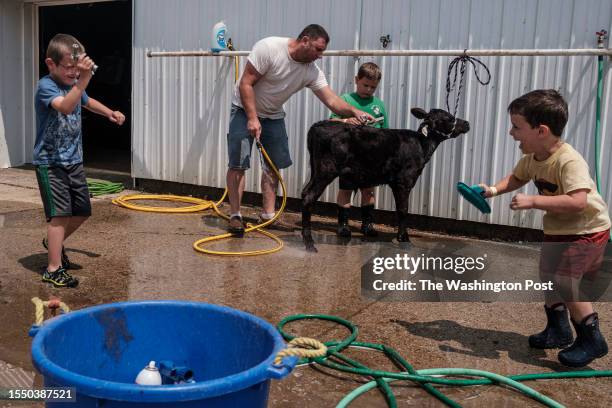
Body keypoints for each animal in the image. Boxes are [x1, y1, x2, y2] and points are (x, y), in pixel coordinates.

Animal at [302, 107, 468, 250]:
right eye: (449, 118)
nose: (467, 123)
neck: (422, 145)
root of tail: (317, 126)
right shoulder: (403, 181)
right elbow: (403, 209)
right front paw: (404, 238)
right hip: (326, 169)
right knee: (309, 196)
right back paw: (309, 242)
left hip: (315, 170)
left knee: (304, 192)